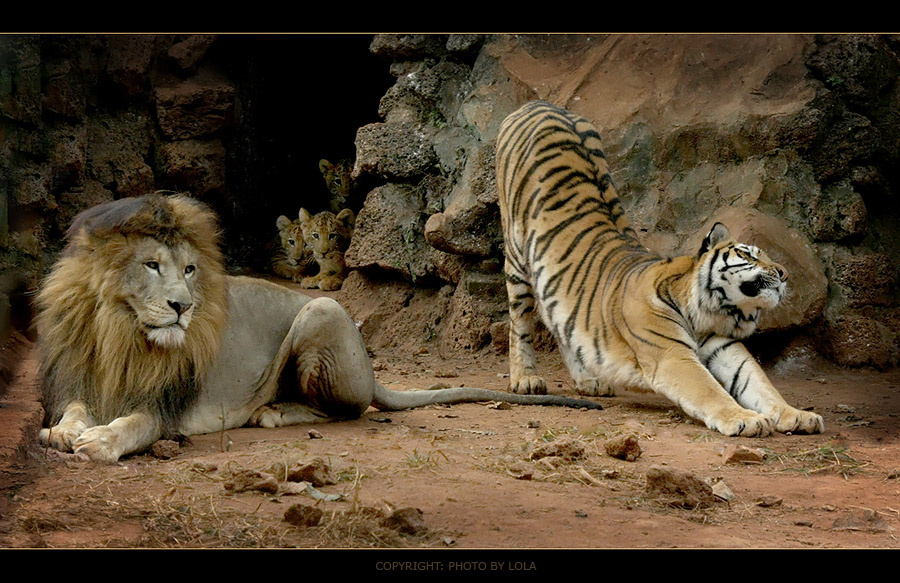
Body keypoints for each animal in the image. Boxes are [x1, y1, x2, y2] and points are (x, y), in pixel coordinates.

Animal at [37, 193, 602, 463]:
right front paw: (65, 431)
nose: (182, 306)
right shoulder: (82, 376)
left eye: (191, 269)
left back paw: (271, 412)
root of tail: (374, 373)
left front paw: (99, 442)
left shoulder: (167, 407)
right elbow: (76, 408)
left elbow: (134, 424)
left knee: (346, 410)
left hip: (322, 311)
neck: (122, 332)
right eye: (153, 265)